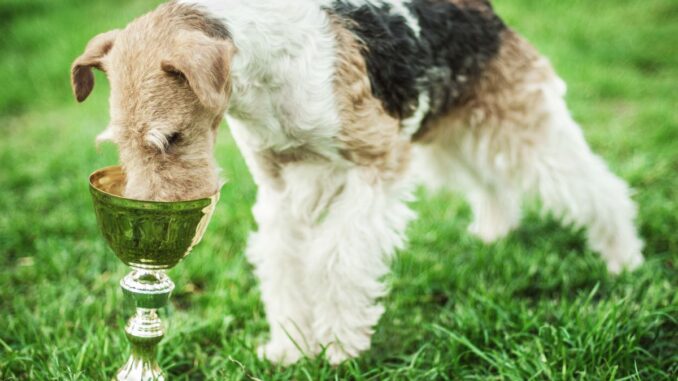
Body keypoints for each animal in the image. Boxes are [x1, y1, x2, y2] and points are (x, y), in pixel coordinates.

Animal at [71, 0, 644, 364]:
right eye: (119, 145)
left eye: (169, 137)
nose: (150, 233)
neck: (263, 63)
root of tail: (482, 9)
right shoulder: (280, 188)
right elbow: (284, 264)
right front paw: (289, 348)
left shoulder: (377, 164)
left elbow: (336, 259)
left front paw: (340, 346)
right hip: (450, 135)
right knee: (490, 186)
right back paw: (493, 233)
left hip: (523, 125)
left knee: (598, 188)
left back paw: (625, 259)